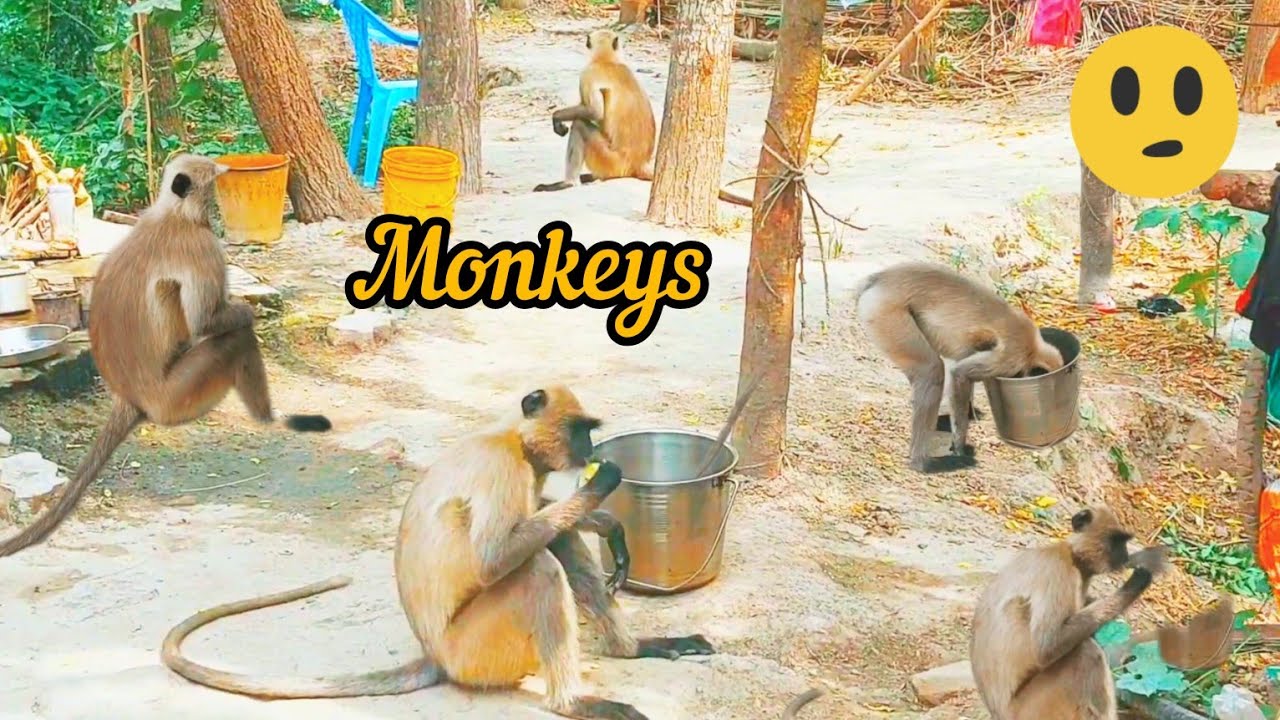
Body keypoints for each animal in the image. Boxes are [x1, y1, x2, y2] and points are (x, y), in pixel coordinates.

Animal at [0, 153, 331, 558]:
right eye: (211, 189)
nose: (215, 210)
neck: (171, 214)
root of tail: (129, 396)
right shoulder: (202, 246)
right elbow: (207, 320)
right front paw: (246, 312)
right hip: (174, 397)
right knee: (232, 339)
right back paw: (273, 419)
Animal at [161, 385, 715, 720]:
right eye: (579, 429)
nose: (590, 450)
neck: (511, 438)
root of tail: (436, 655)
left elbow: (541, 516)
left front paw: (609, 525)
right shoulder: (502, 467)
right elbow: (494, 558)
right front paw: (604, 487)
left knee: (554, 539)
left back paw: (634, 648)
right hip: (475, 652)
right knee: (536, 567)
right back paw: (572, 701)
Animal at [532, 29, 752, 208]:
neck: (608, 60)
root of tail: (637, 163)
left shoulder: (588, 73)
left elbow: (594, 112)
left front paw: (557, 118)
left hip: (611, 160)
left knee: (580, 126)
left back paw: (568, 183)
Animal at [853, 261, 1065, 474]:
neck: (1032, 348)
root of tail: (880, 279)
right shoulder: (1012, 357)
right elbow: (960, 374)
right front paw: (959, 448)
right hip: (886, 312)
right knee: (931, 370)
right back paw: (922, 463)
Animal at [969, 506, 1168, 720]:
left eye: (1124, 542)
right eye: (1116, 541)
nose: (1124, 555)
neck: (1073, 555)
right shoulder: (1058, 567)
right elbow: (1048, 646)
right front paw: (1137, 582)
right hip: (1032, 709)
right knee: (1086, 651)